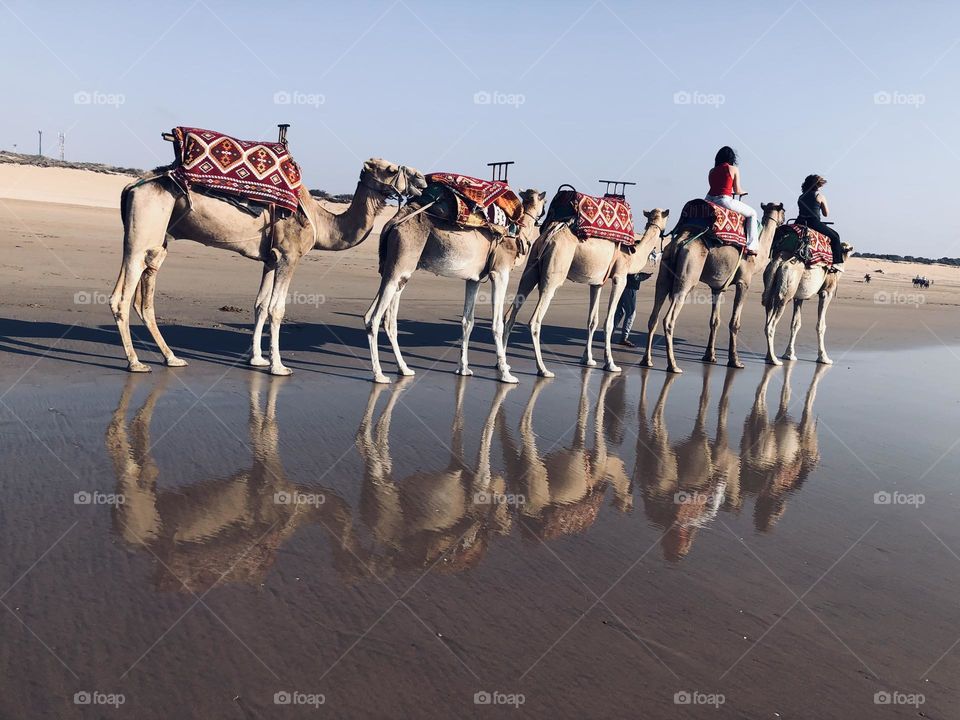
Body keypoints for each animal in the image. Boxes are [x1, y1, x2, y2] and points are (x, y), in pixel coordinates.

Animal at [110, 158, 426, 376]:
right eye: (390, 169)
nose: (422, 180)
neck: (321, 222)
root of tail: (129, 186)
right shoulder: (289, 256)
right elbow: (277, 309)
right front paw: (278, 366)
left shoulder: (271, 260)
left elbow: (260, 305)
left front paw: (258, 359)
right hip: (144, 233)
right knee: (122, 297)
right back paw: (135, 362)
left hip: (157, 239)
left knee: (143, 293)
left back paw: (171, 357)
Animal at [366, 188, 548, 386]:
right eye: (545, 202)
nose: (543, 218)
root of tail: (392, 224)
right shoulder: (500, 272)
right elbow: (497, 323)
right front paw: (506, 374)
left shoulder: (474, 279)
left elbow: (468, 321)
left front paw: (464, 369)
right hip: (400, 263)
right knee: (375, 318)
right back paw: (379, 375)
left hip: (396, 271)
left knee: (382, 319)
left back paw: (404, 369)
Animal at [502, 208, 676, 376]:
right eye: (666, 217)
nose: (667, 231)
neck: (632, 255)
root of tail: (550, 233)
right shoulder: (620, 278)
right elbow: (608, 322)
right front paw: (611, 364)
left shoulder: (597, 283)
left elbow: (592, 321)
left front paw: (588, 359)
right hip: (554, 272)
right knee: (535, 320)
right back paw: (543, 369)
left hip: (531, 267)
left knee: (511, 313)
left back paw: (503, 364)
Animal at [640, 201, 784, 374]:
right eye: (783, 211)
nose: (784, 221)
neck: (758, 255)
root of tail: (679, 242)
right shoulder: (744, 282)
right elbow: (735, 323)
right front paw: (735, 361)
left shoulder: (718, 288)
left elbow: (714, 320)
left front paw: (710, 356)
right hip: (687, 277)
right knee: (669, 319)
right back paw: (673, 365)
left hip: (663, 273)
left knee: (653, 315)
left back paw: (646, 360)